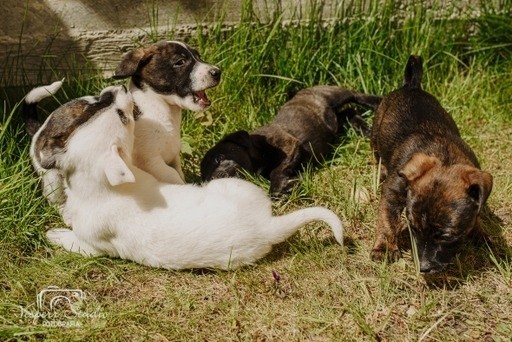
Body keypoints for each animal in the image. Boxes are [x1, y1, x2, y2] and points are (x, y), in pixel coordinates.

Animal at [45, 85, 344, 270]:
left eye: (121, 115)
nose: (119, 89)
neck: (101, 187)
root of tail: (268, 225)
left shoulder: (92, 247)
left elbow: (73, 240)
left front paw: (55, 233)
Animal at [113, 40, 221, 184]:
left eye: (198, 57)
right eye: (180, 62)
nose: (218, 72)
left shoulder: (174, 157)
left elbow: (179, 173)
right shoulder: (152, 162)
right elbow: (174, 177)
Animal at [200, 85, 380, 195]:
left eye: (219, 158)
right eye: (206, 178)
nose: (214, 180)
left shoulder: (288, 145)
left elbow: (277, 172)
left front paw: (281, 187)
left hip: (334, 95)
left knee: (356, 96)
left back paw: (376, 101)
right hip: (334, 121)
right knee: (348, 112)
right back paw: (362, 127)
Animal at [370, 55, 494, 272]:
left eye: (446, 236)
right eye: (413, 228)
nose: (424, 267)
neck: (444, 156)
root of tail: (411, 85)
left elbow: (475, 216)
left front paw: (480, 235)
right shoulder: (392, 192)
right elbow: (387, 219)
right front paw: (384, 248)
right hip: (375, 133)